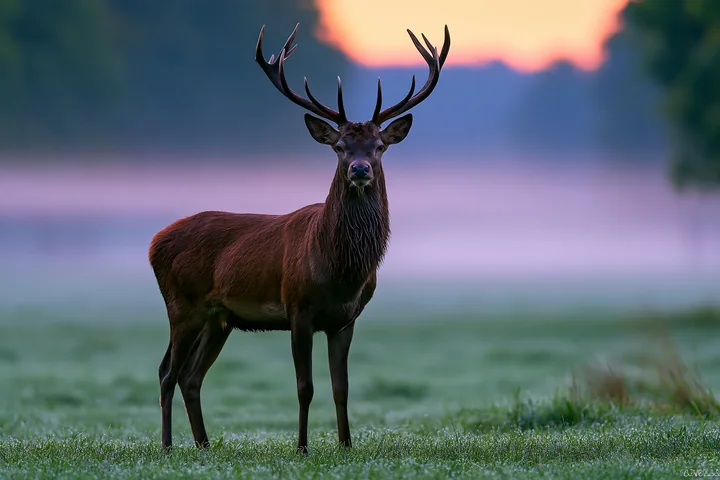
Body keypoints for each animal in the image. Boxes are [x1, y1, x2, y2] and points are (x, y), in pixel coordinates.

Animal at [148, 22, 450, 454]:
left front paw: (346, 444)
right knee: (166, 371)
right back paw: (168, 446)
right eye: (339, 147)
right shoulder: (298, 307)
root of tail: (154, 242)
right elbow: (304, 387)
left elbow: (342, 387)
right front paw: (302, 447)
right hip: (182, 304)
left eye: (379, 147)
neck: (340, 272)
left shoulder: (345, 320)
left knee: (191, 376)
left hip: (218, 318)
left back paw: (204, 446)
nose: (360, 169)